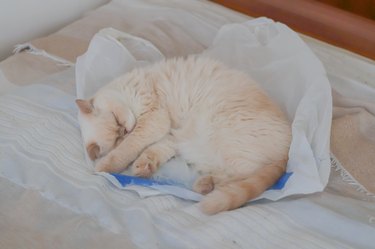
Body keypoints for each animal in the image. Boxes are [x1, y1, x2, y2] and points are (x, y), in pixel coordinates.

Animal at [77, 56, 294, 214]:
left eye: (117, 123)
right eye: (117, 137)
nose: (126, 130)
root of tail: (288, 149)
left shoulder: (154, 121)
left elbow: (127, 150)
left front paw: (104, 168)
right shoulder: (171, 135)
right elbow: (153, 150)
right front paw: (143, 167)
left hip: (218, 132)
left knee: (246, 175)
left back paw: (205, 187)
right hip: (195, 145)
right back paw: (205, 185)